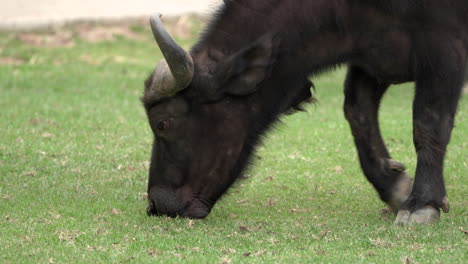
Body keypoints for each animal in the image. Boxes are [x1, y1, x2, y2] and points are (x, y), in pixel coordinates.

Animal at [141, 0, 466, 224]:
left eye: (163, 123)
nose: (158, 204)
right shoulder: (374, 55)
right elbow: (357, 112)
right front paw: (395, 186)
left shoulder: (444, 47)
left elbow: (428, 123)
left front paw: (422, 203)